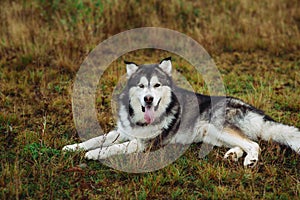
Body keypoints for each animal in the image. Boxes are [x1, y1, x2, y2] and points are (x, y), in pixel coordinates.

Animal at [62, 57, 298, 167]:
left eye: (157, 86)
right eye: (141, 86)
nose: (148, 99)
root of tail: (248, 106)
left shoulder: (144, 144)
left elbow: (113, 148)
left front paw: (93, 154)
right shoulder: (121, 132)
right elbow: (96, 139)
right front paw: (72, 147)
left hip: (217, 127)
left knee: (254, 143)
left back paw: (250, 160)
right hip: (212, 135)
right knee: (244, 143)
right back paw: (233, 155)